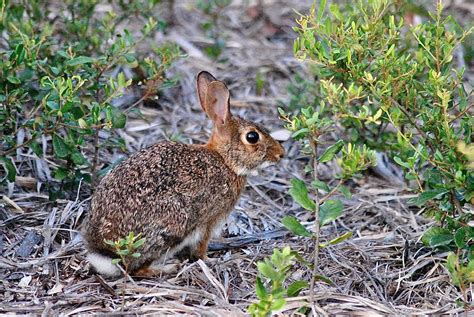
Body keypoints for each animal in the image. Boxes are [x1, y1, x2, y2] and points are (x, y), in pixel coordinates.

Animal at [83, 70, 284, 276]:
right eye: (252, 137)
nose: (280, 153)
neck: (225, 160)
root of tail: (106, 252)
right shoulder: (210, 220)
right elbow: (201, 247)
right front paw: (208, 260)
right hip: (173, 226)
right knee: (135, 268)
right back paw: (168, 267)